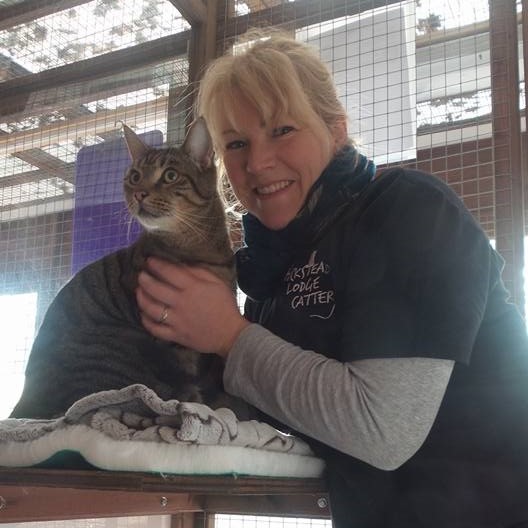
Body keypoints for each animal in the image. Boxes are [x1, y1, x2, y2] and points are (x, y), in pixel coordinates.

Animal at [10, 119, 250, 420]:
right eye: (135, 177)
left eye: (170, 175)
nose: (139, 192)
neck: (201, 245)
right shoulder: (174, 338)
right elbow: (191, 383)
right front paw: (210, 403)